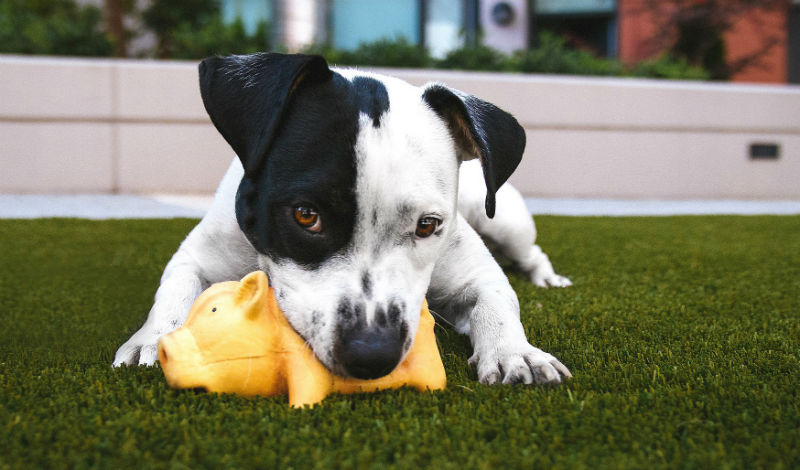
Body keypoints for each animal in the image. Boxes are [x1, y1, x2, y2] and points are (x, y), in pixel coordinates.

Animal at [114, 52, 576, 386]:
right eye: (306, 215)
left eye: (427, 225)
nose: (373, 354)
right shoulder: (198, 255)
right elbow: (174, 291)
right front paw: (152, 339)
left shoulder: (475, 273)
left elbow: (497, 301)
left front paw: (515, 352)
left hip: (504, 220)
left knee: (531, 251)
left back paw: (547, 278)